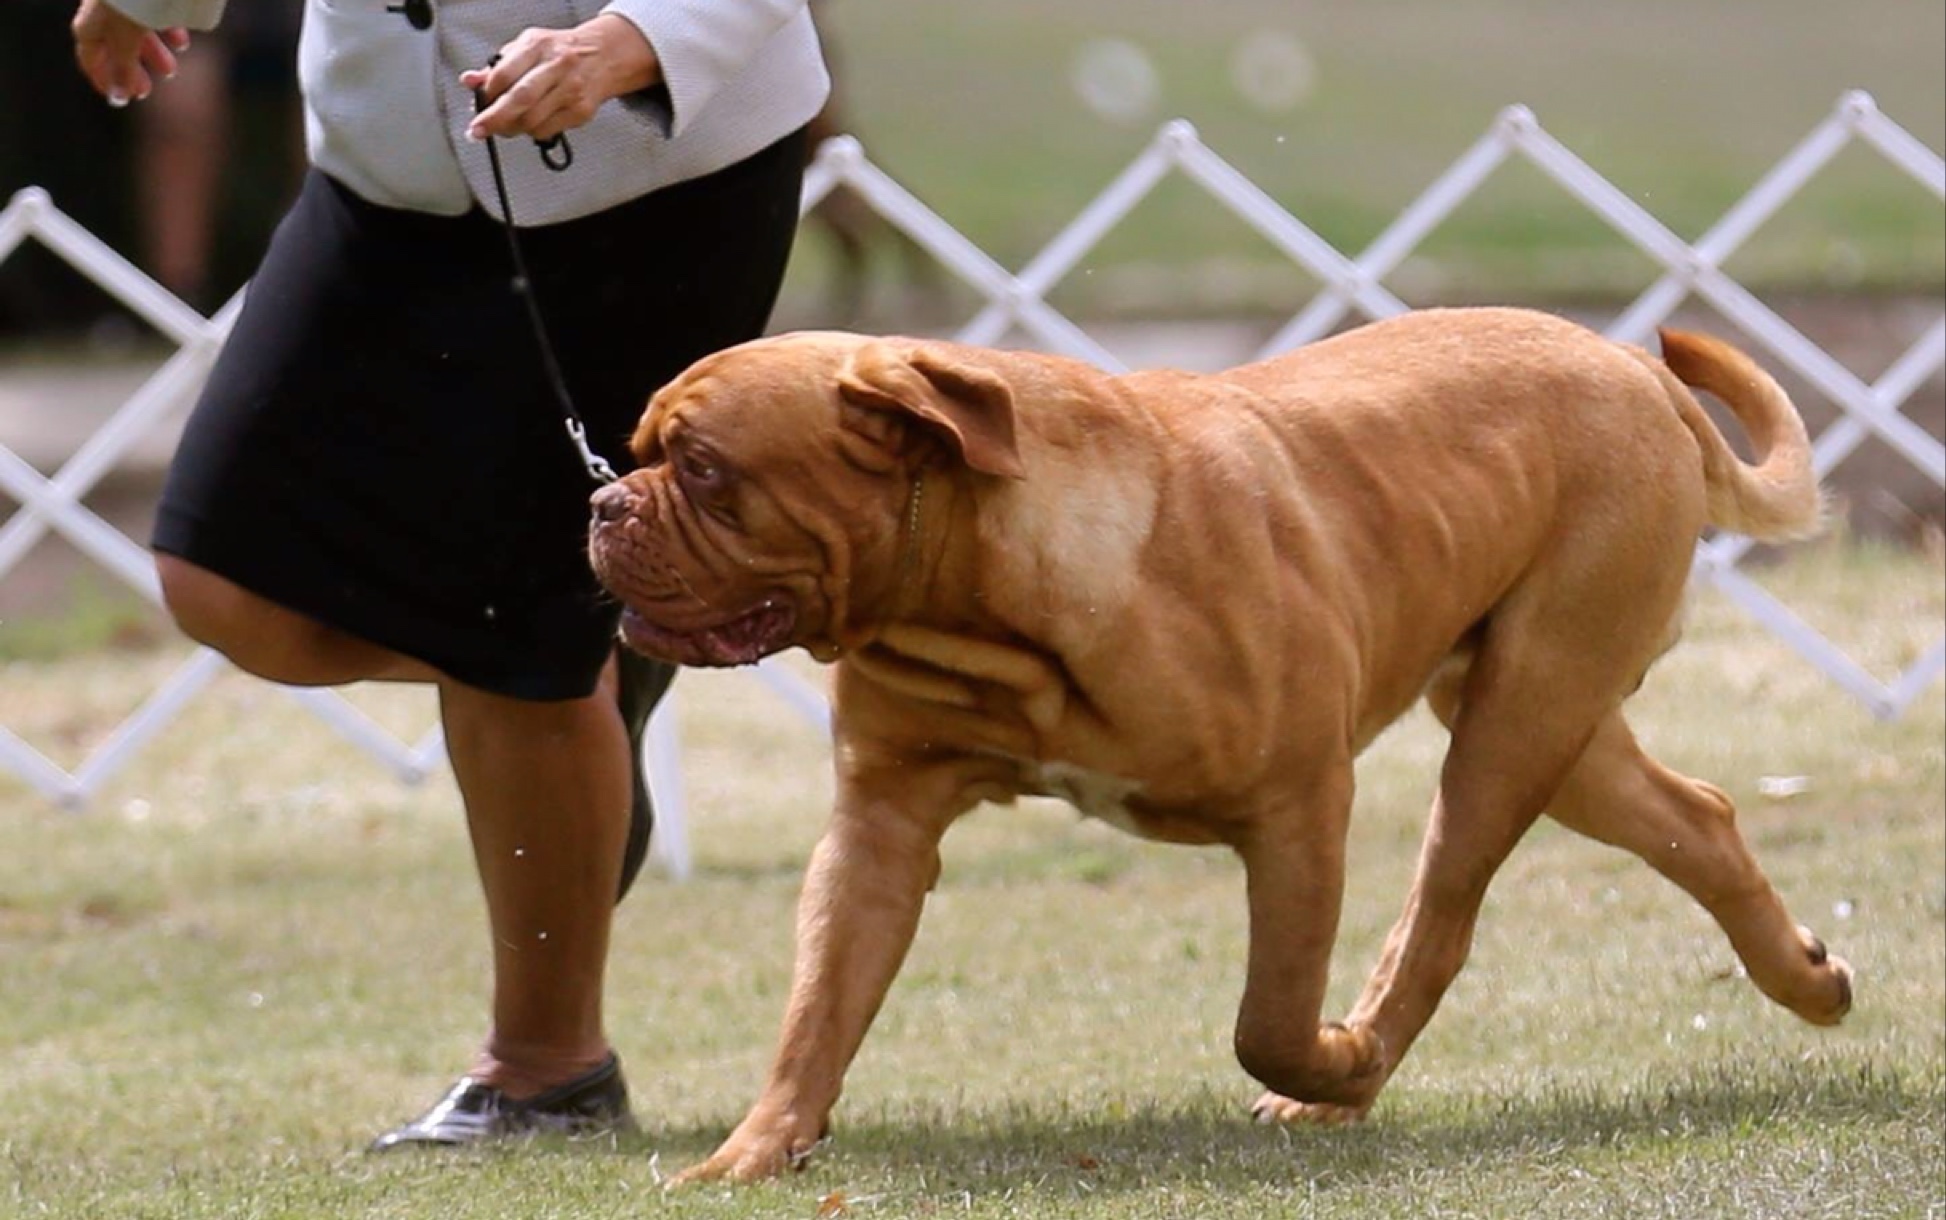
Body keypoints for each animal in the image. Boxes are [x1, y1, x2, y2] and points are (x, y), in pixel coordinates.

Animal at [587, 305, 1852, 1183]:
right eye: (637, 448)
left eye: (704, 468)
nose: (601, 504)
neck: (972, 596)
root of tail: (1635, 368)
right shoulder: (880, 823)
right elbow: (818, 1004)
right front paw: (752, 1151)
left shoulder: (1297, 807)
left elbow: (1267, 1018)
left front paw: (1324, 1058)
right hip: (1545, 719)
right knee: (1695, 819)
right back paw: (1804, 976)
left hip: (1518, 715)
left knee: (1435, 917)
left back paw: (1352, 1071)